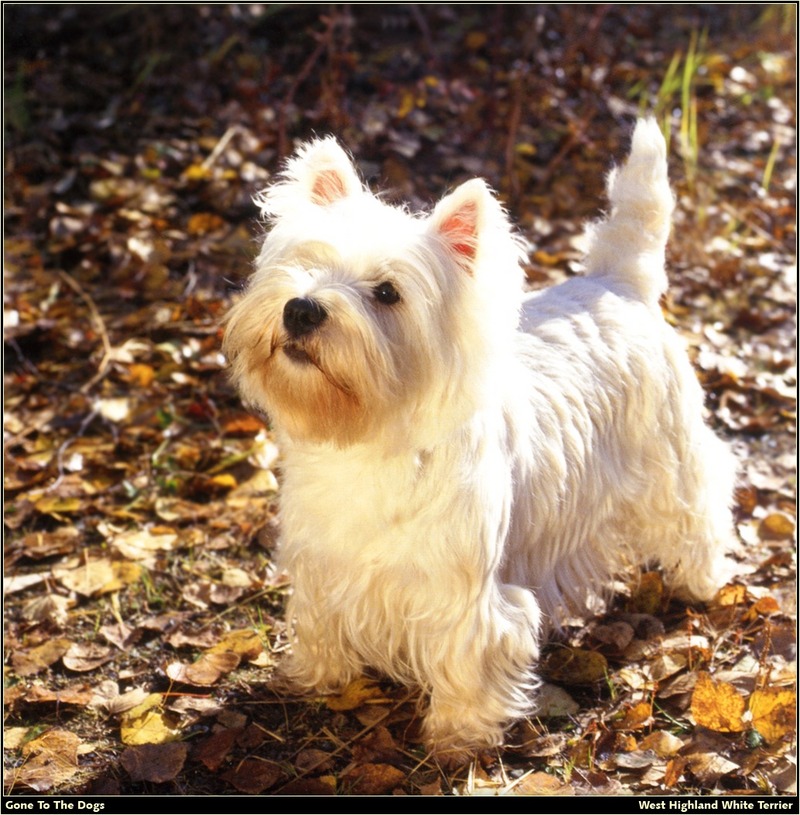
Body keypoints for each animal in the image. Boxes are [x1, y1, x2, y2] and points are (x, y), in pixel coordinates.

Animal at [222, 118, 736, 760]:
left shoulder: (463, 595)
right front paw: (316, 679)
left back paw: (701, 582)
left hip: (672, 460)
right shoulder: (322, 566)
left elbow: (466, 661)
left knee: (701, 511)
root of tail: (618, 283)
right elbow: (320, 623)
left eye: (387, 292)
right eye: (307, 262)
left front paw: (456, 740)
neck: (370, 439)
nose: (302, 310)